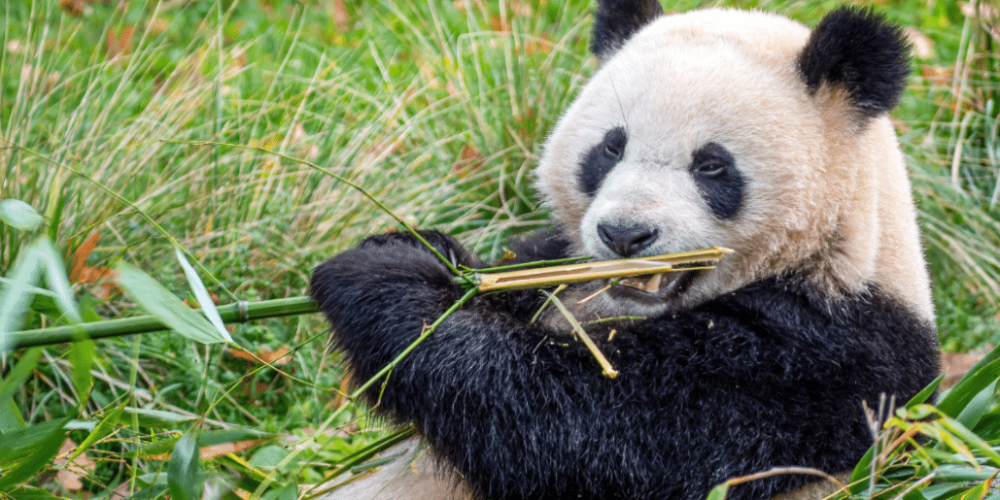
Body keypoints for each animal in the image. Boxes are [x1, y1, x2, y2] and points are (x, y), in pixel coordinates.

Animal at [309, 2, 940, 499]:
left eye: (711, 165)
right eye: (611, 147)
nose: (625, 235)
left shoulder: (822, 361)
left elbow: (593, 431)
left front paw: (381, 281)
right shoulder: (559, 265)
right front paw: (423, 250)